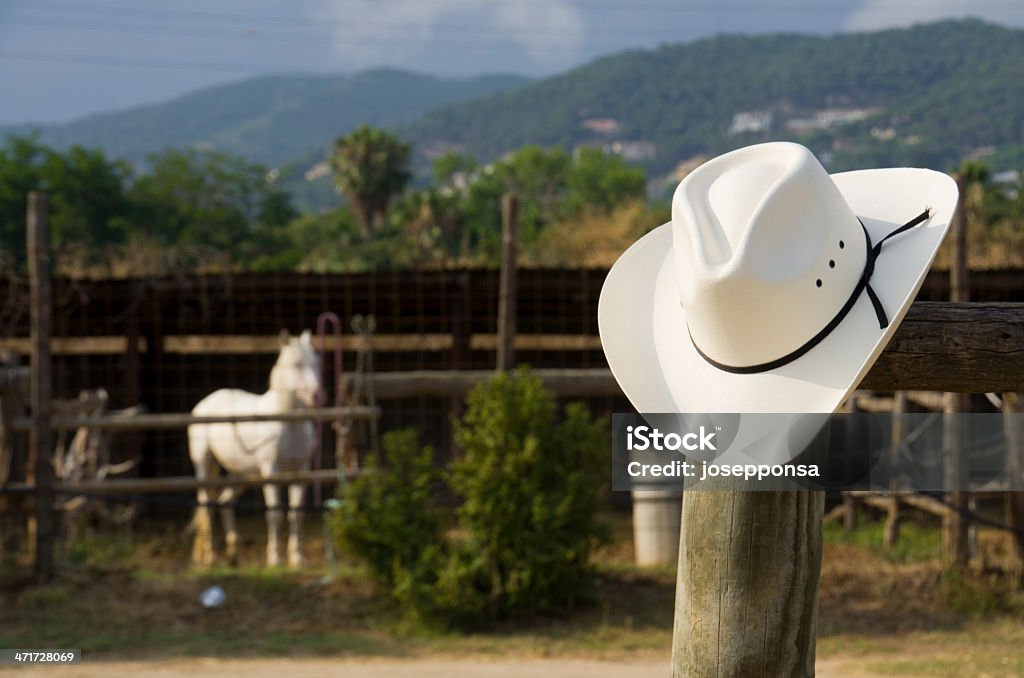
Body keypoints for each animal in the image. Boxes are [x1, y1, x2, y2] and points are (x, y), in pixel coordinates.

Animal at [188, 329, 321, 569]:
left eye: (315, 362)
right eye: (296, 364)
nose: (316, 395)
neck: (288, 424)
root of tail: (203, 405)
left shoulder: (301, 472)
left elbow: (296, 514)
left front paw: (297, 558)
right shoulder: (271, 471)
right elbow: (275, 514)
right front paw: (275, 558)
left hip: (241, 474)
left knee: (225, 502)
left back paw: (234, 553)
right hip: (204, 465)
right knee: (207, 505)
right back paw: (211, 557)